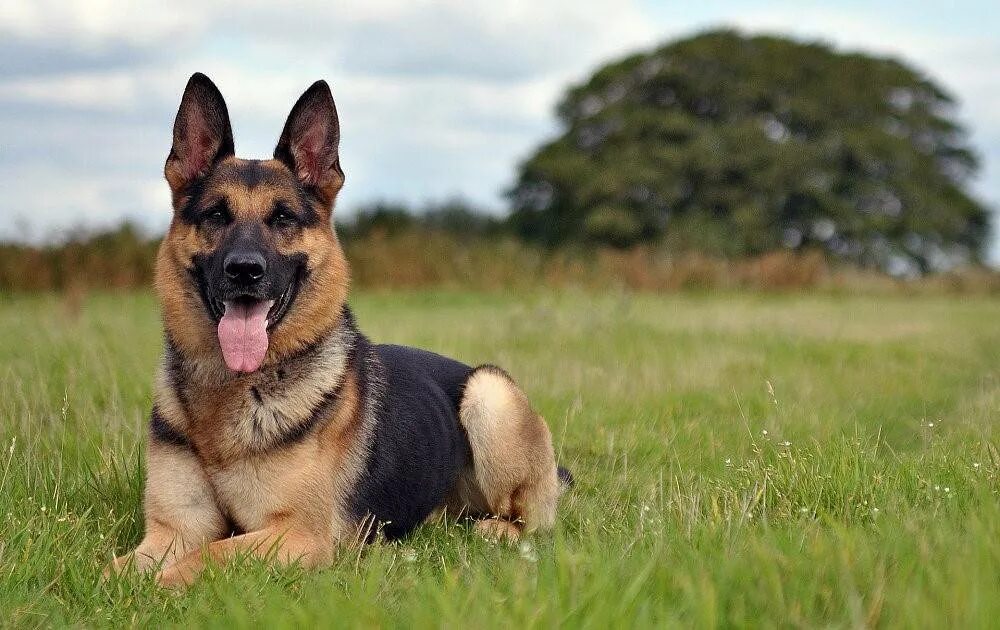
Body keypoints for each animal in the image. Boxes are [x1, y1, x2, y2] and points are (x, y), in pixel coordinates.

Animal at [109, 75, 572, 592]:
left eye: (283, 218)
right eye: (215, 216)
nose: (244, 270)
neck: (232, 390)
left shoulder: (296, 535)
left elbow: (208, 555)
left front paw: (160, 588)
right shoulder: (173, 529)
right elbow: (115, 568)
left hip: (490, 393)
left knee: (528, 522)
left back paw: (494, 530)